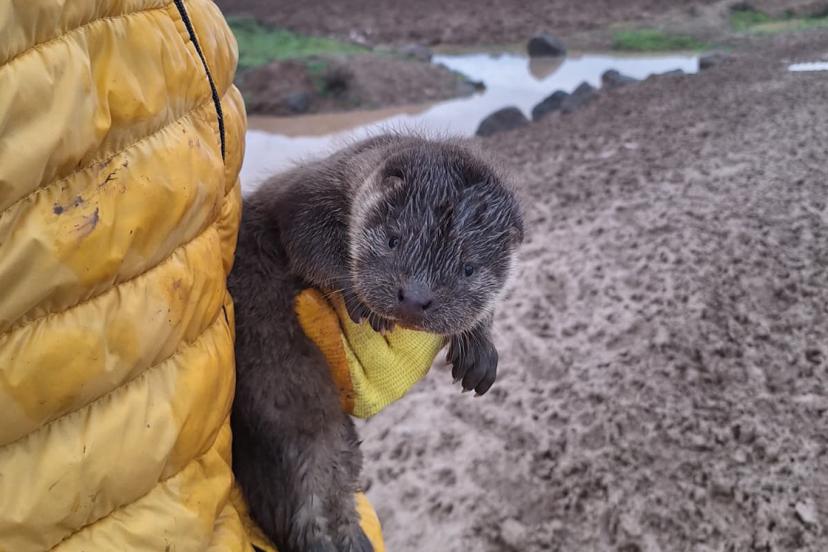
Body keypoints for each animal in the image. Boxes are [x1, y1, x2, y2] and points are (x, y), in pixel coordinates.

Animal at [229, 134, 523, 552]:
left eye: (469, 268)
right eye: (392, 239)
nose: (415, 298)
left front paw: (480, 346)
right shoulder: (308, 193)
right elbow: (304, 237)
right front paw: (355, 295)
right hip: (281, 377)